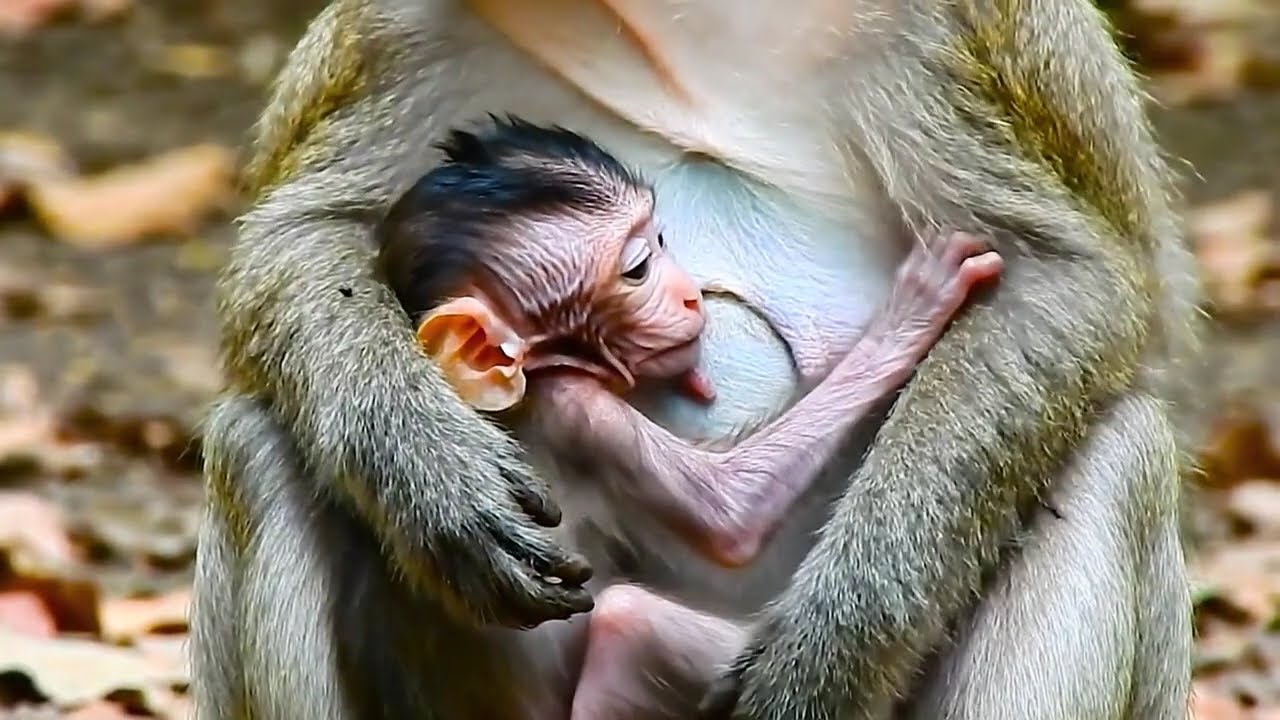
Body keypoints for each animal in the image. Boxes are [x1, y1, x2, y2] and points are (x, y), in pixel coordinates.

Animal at [375, 117, 1004, 573]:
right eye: (638, 269)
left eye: (660, 240)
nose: (690, 296)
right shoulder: (572, 407)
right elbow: (727, 512)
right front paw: (915, 308)